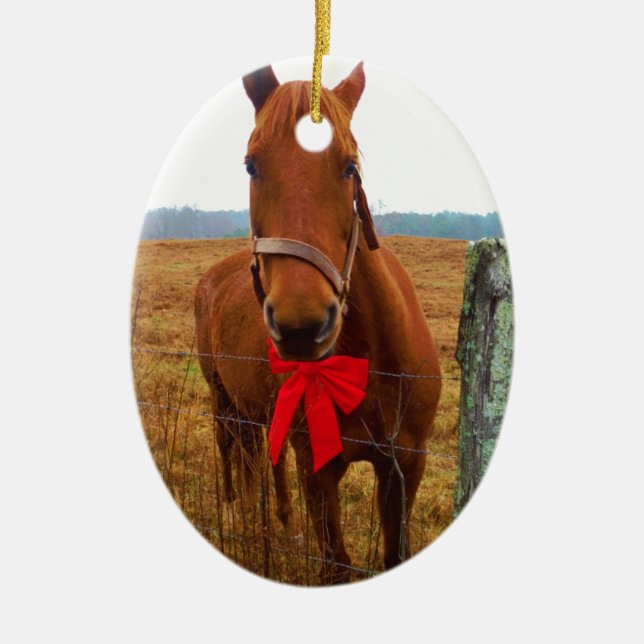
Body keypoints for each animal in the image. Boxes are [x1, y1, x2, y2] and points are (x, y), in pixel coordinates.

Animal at [194, 62, 441, 583]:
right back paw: (235, 511)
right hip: (221, 397)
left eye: (349, 167)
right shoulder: (318, 469)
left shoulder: (406, 467)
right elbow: (336, 565)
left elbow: (394, 554)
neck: (369, 363)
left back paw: (280, 522)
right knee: (230, 449)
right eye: (251, 165)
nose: (302, 325)